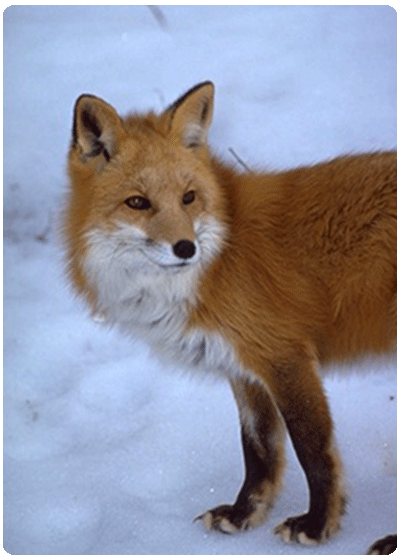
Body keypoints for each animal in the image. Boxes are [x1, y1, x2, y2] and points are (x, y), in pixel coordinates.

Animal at [65, 80, 396, 556]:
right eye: (138, 203)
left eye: (188, 198)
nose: (186, 248)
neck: (217, 260)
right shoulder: (242, 368)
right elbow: (259, 449)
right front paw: (243, 515)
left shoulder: (285, 358)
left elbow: (313, 450)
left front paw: (317, 525)